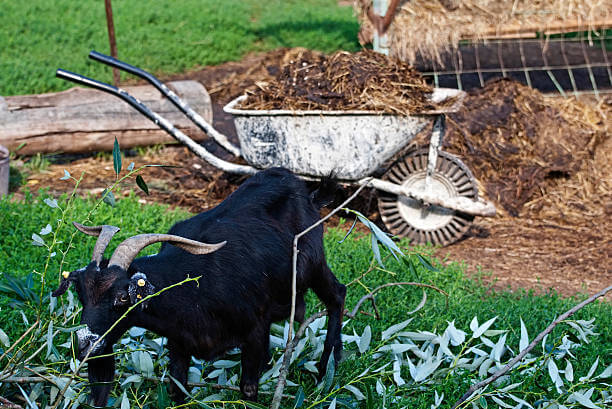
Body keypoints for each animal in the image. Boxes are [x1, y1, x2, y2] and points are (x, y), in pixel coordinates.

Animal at [52, 167, 344, 404]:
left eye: (123, 297)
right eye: (81, 294)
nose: (85, 345)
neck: (195, 290)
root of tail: (308, 194)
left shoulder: (254, 330)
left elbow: (249, 389)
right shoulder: (178, 342)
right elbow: (177, 388)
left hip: (314, 264)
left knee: (337, 294)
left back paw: (327, 367)